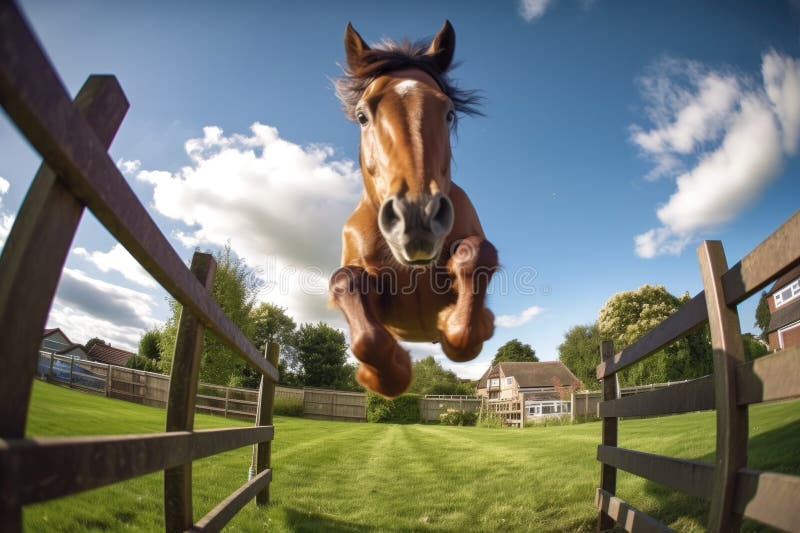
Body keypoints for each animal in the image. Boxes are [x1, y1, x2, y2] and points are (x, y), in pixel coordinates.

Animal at [329, 21, 498, 398]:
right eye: (362, 116)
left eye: (449, 112)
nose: (417, 218)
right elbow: (347, 286)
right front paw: (393, 368)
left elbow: (476, 258)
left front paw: (451, 323)